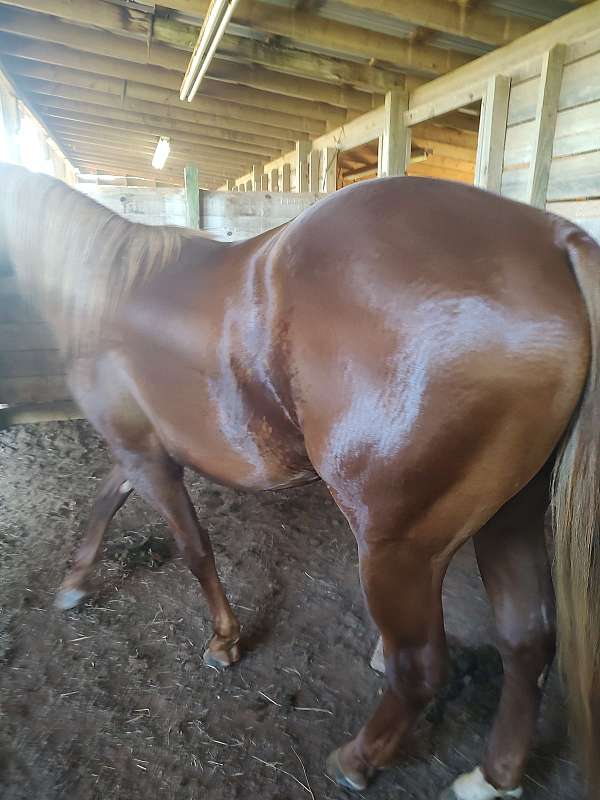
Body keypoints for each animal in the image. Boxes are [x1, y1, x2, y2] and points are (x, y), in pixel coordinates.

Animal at [1, 162, 599, 800]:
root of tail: (552, 239)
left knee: (421, 665)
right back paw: (491, 777)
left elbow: (194, 548)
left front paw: (224, 641)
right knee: (528, 642)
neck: (107, 291)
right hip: (510, 516)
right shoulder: (137, 450)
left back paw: (358, 758)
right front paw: (74, 584)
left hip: (398, 546)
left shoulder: (146, 456)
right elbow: (102, 505)